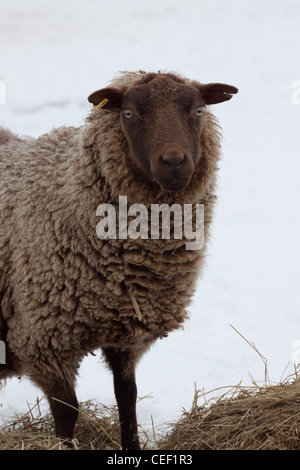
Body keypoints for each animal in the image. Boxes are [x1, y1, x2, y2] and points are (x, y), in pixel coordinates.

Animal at [0, 71, 239, 450]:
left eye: (199, 109)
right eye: (128, 113)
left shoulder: (126, 330)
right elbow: (68, 413)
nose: (174, 163)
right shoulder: (43, 339)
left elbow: (127, 397)